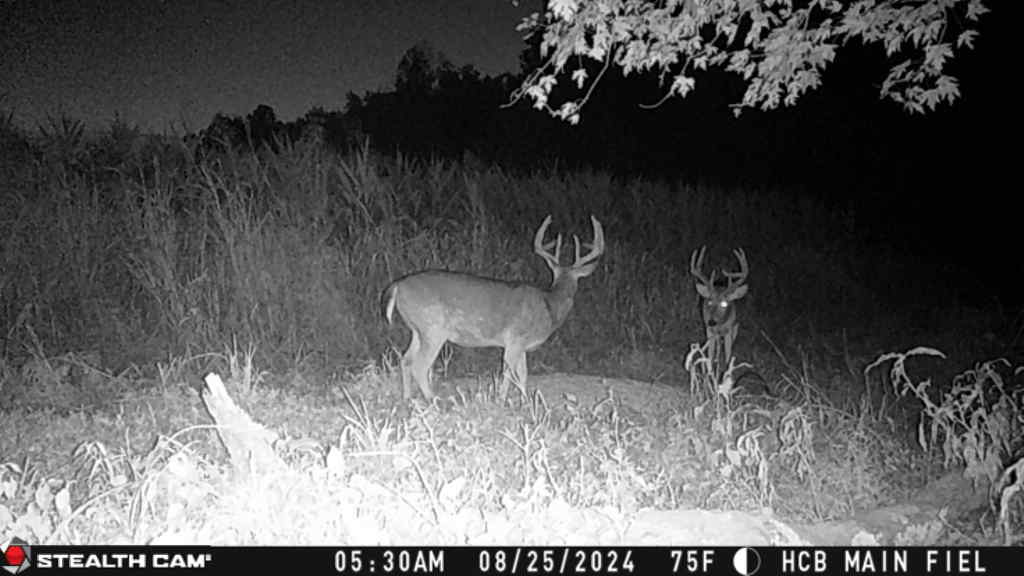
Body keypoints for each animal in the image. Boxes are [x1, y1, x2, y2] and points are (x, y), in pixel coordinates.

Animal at [381, 215, 605, 400]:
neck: (549, 305)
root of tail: (397, 285)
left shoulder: (521, 345)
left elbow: (523, 375)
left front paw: (525, 401)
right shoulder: (515, 338)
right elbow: (509, 372)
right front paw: (502, 400)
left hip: (418, 329)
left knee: (405, 359)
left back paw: (408, 398)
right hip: (433, 328)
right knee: (419, 365)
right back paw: (433, 400)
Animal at [689, 246, 749, 380]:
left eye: (724, 304)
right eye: (709, 301)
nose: (712, 321)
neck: (721, 324)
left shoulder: (730, 330)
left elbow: (728, 357)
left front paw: (726, 376)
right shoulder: (709, 330)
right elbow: (710, 355)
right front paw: (709, 375)